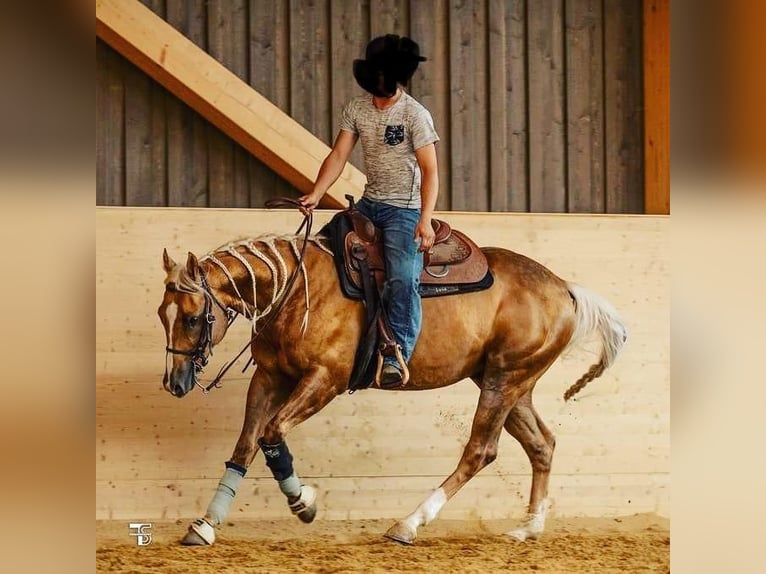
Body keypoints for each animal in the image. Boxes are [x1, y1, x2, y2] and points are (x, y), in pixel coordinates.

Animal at [157, 226, 626, 546]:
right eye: (164, 314)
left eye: (193, 318)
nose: (174, 382)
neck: (298, 291)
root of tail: (564, 289)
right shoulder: (269, 378)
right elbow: (245, 446)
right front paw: (205, 524)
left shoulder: (325, 380)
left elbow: (272, 434)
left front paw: (304, 503)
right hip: (511, 382)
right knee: (541, 444)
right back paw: (528, 527)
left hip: (504, 379)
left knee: (481, 450)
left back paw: (409, 523)